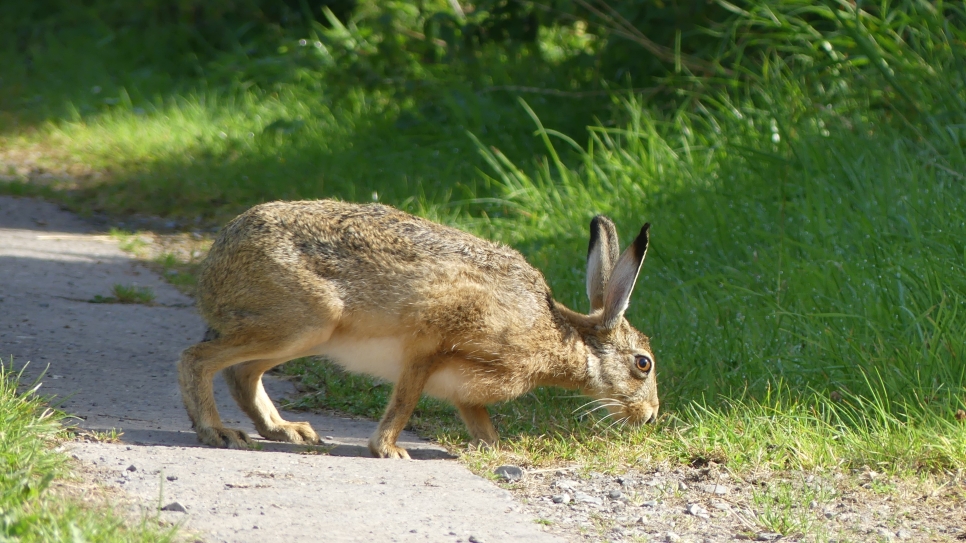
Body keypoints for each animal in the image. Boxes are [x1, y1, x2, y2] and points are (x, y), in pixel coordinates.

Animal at [177, 199, 658, 458]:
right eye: (643, 364)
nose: (651, 415)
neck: (559, 334)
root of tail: (215, 262)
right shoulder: (431, 342)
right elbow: (405, 401)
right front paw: (388, 449)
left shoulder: (467, 388)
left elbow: (478, 419)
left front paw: (497, 448)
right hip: (305, 322)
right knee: (196, 359)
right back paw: (219, 432)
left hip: (301, 335)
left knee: (242, 373)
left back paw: (286, 431)